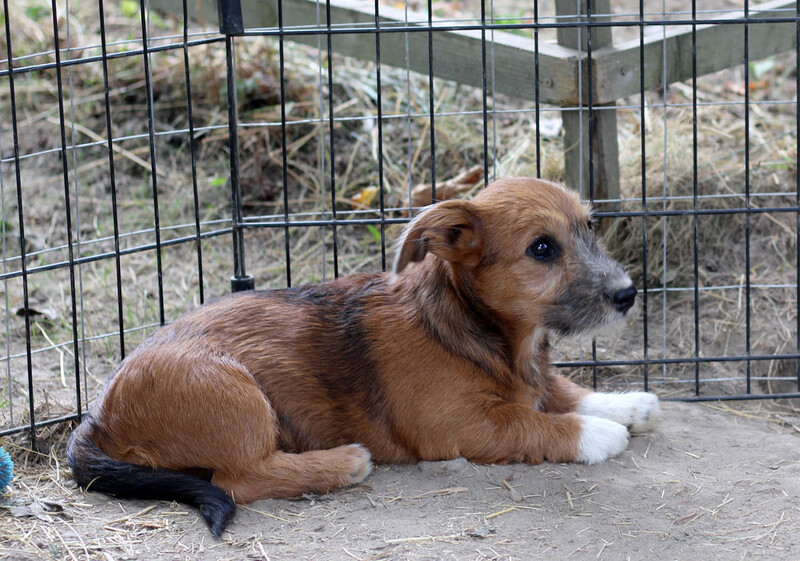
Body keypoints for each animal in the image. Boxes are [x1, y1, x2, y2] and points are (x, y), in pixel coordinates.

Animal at [67, 178, 656, 532]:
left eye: (590, 227)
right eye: (542, 248)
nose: (628, 294)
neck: (472, 325)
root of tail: (97, 417)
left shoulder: (532, 379)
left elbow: (562, 391)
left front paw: (626, 403)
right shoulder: (462, 427)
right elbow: (534, 422)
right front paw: (600, 434)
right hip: (233, 391)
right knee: (239, 478)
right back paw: (343, 462)